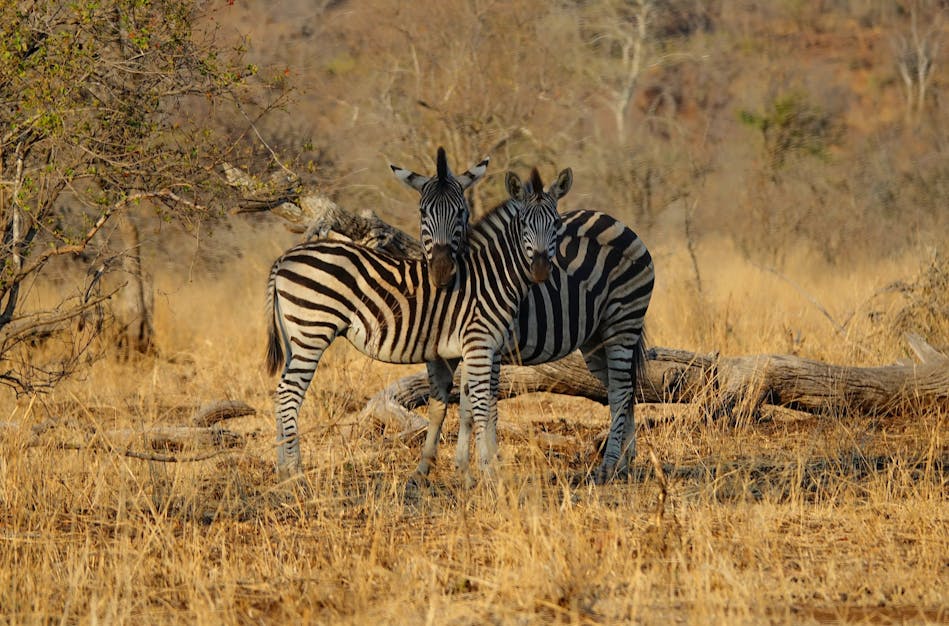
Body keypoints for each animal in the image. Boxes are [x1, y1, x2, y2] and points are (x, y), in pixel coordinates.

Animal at [265, 157, 564, 477]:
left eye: (557, 224)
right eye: (524, 225)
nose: (541, 270)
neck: (491, 277)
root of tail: (285, 257)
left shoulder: (467, 351)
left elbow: (468, 406)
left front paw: (469, 472)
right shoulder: (479, 345)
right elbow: (483, 406)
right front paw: (489, 472)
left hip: (294, 336)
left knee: (280, 392)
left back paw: (282, 468)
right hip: (313, 329)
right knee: (289, 394)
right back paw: (295, 471)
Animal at [389, 163, 654, 484]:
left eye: (461, 212)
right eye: (423, 212)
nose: (441, 271)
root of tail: (616, 222)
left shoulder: (485, 347)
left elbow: (475, 406)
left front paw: (478, 467)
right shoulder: (456, 350)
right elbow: (452, 406)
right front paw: (439, 469)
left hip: (623, 323)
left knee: (621, 389)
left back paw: (609, 465)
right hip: (595, 339)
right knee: (621, 390)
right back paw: (625, 462)